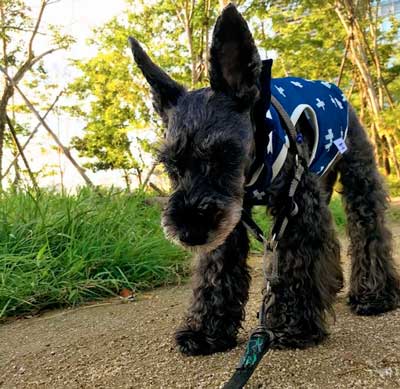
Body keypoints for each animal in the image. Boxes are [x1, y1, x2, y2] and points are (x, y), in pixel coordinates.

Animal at [129, 4, 400, 354]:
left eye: (225, 153)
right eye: (171, 165)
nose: (190, 233)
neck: (255, 166)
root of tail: (331, 87)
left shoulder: (294, 207)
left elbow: (295, 262)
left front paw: (292, 325)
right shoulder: (229, 220)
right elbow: (217, 271)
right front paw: (206, 331)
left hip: (357, 175)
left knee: (368, 229)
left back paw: (374, 295)